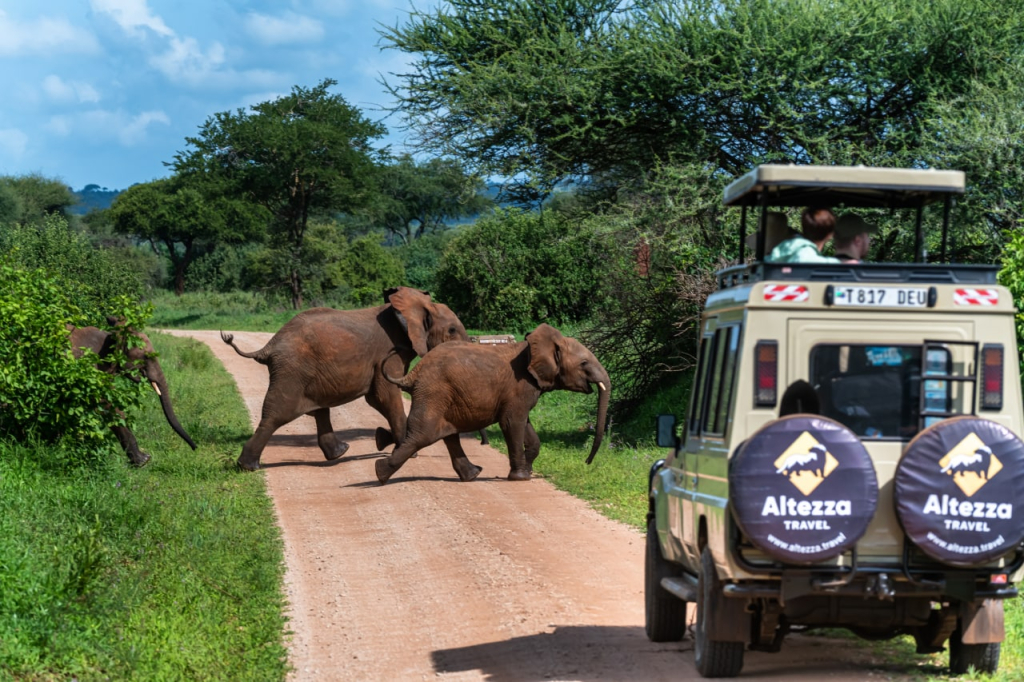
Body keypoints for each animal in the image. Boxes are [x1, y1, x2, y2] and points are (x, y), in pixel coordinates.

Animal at [222, 284, 468, 471]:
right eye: (452, 330)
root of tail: (269, 345)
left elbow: (378, 399)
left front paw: (384, 440)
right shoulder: (387, 353)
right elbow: (385, 397)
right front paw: (407, 453)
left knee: (319, 410)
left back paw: (340, 453)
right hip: (292, 371)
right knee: (276, 414)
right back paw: (248, 466)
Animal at [374, 319, 606, 483]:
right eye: (584, 363)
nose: (587, 462)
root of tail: (413, 373)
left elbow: (525, 426)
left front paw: (527, 471)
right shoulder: (520, 387)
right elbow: (512, 423)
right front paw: (520, 478)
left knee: (446, 434)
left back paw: (473, 475)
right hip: (433, 392)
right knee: (422, 435)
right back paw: (380, 473)